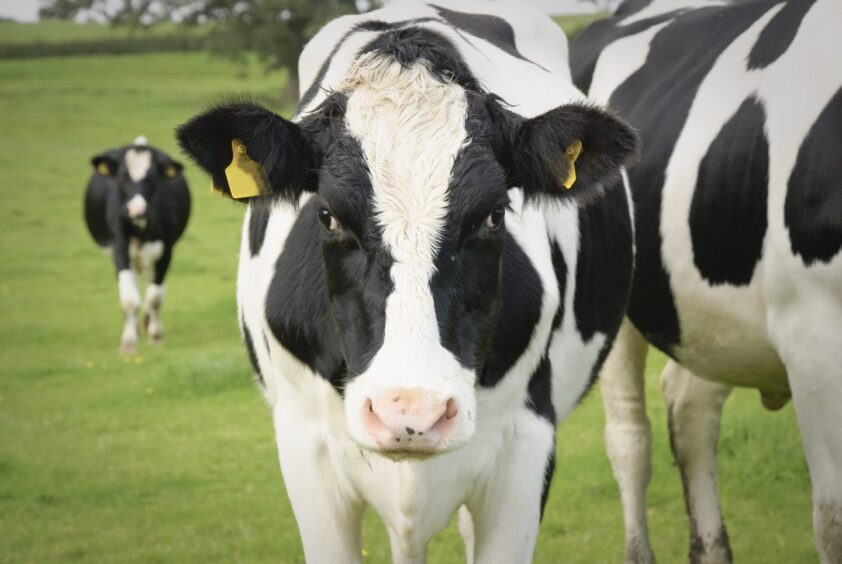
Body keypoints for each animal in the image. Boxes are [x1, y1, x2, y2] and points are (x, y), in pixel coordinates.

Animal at [84, 136, 189, 352]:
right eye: (122, 177)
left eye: (153, 178)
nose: (136, 209)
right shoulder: (119, 248)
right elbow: (129, 298)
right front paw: (129, 342)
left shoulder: (166, 249)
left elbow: (155, 297)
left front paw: (155, 335)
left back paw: (147, 323)